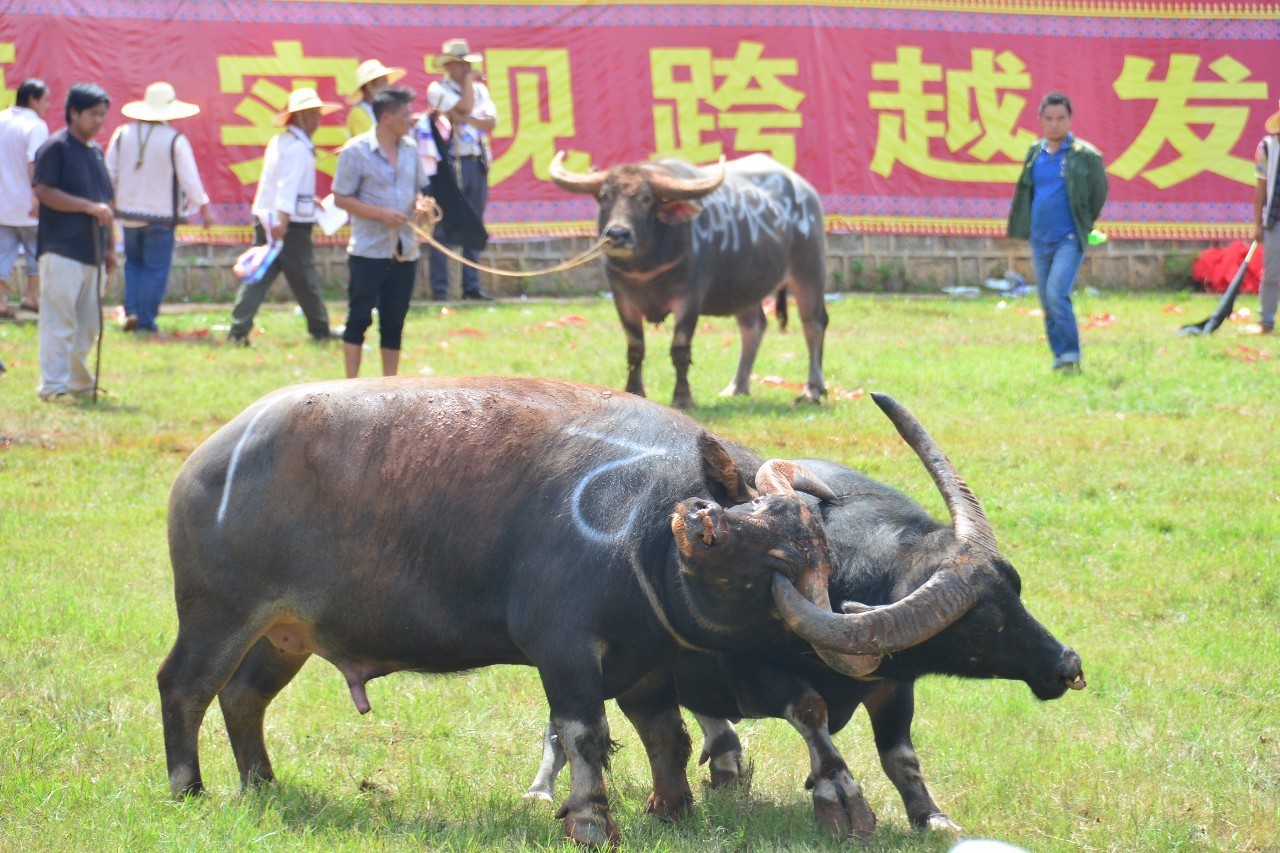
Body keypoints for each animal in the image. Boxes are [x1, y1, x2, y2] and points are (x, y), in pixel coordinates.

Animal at [160, 373, 865, 845]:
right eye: (741, 549)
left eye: (819, 551)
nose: (696, 521)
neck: (641, 530)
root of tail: (203, 464)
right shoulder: (564, 646)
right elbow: (584, 732)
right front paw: (590, 820)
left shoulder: (643, 662)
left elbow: (668, 733)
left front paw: (674, 808)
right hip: (217, 614)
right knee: (184, 686)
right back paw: (188, 788)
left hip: (283, 635)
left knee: (242, 696)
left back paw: (261, 783)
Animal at [524, 391, 1085, 835]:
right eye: (984, 627)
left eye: (1017, 590)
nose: (1067, 665)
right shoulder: (757, 674)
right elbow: (810, 712)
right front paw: (836, 795)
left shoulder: (893, 685)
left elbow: (901, 757)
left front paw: (932, 816)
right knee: (564, 723)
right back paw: (541, 790)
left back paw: (726, 765)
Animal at [550, 151, 829, 409]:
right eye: (606, 195)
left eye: (646, 198)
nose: (618, 234)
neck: (646, 266)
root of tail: (805, 191)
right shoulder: (623, 299)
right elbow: (636, 349)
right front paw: (634, 391)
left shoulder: (689, 299)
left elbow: (680, 349)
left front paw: (683, 398)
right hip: (744, 288)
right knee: (753, 327)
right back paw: (737, 387)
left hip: (809, 271)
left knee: (813, 324)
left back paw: (812, 390)